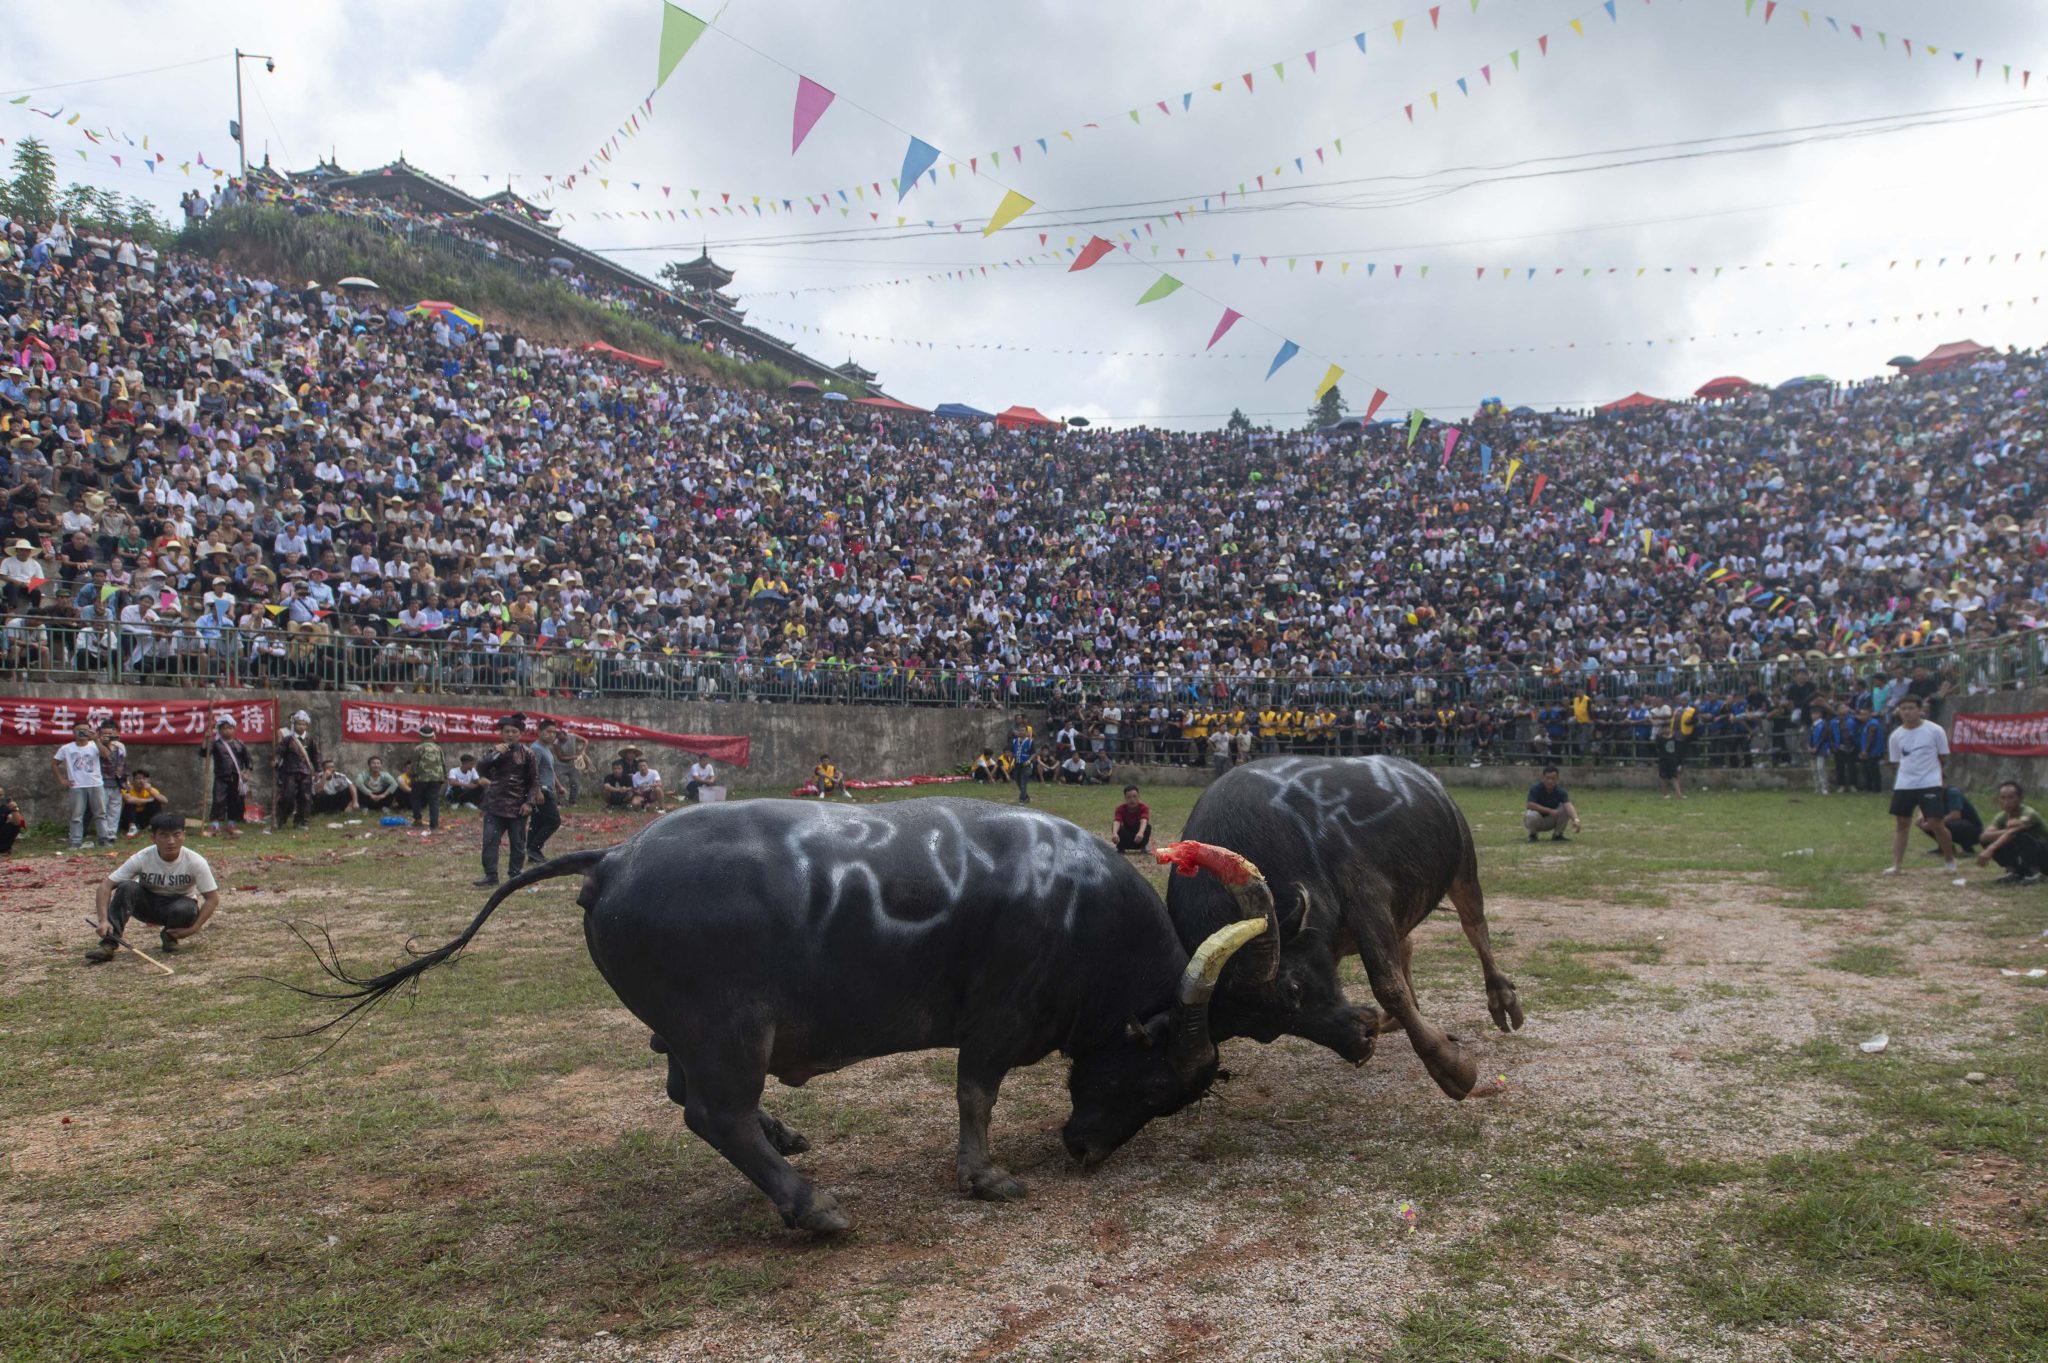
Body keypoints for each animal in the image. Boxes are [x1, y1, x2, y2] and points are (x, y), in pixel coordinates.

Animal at [296, 798, 1269, 1227]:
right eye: (1153, 1080)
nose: (1085, 1150)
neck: (1072, 907)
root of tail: (613, 857)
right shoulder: (995, 1020)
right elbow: (974, 1095)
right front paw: (984, 1175)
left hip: (702, 1030)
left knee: (683, 1087)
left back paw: (788, 1140)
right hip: (730, 1029)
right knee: (710, 1110)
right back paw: (812, 1205)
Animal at [1171, 753, 1523, 1096]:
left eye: (1294, 989)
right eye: (1265, 1033)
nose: (1361, 1043)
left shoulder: (1366, 895)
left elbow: (1387, 984)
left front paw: (1449, 1064)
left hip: (1464, 866)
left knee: (1475, 928)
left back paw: (1502, 999)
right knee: (1407, 943)